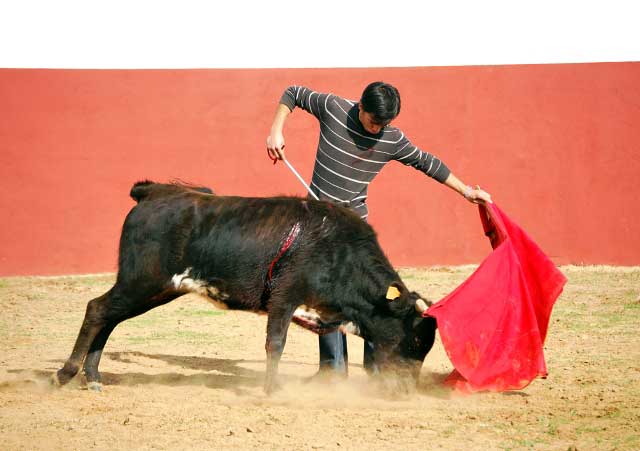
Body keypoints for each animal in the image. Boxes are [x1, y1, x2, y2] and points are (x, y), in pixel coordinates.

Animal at [53, 182, 436, 394]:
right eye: (415, 340)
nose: (406, 392)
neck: (338, 251)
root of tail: (154, 193)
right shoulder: (284, 298)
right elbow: (275, 344)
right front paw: (272, 390)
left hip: (154, 289)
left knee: (109, 318)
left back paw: (92, 377)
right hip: (142, 281)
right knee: (97, 310)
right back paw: (66, 374)